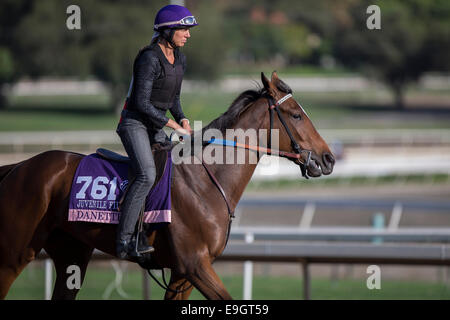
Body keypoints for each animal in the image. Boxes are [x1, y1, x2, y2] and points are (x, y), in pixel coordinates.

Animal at [0, 71, 334, 298]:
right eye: (296, 115)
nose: (328, 158)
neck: (206, 183)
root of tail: (18, 166)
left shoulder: (182, 274)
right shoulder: (195, 265)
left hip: (72, 254)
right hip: (15, 253)